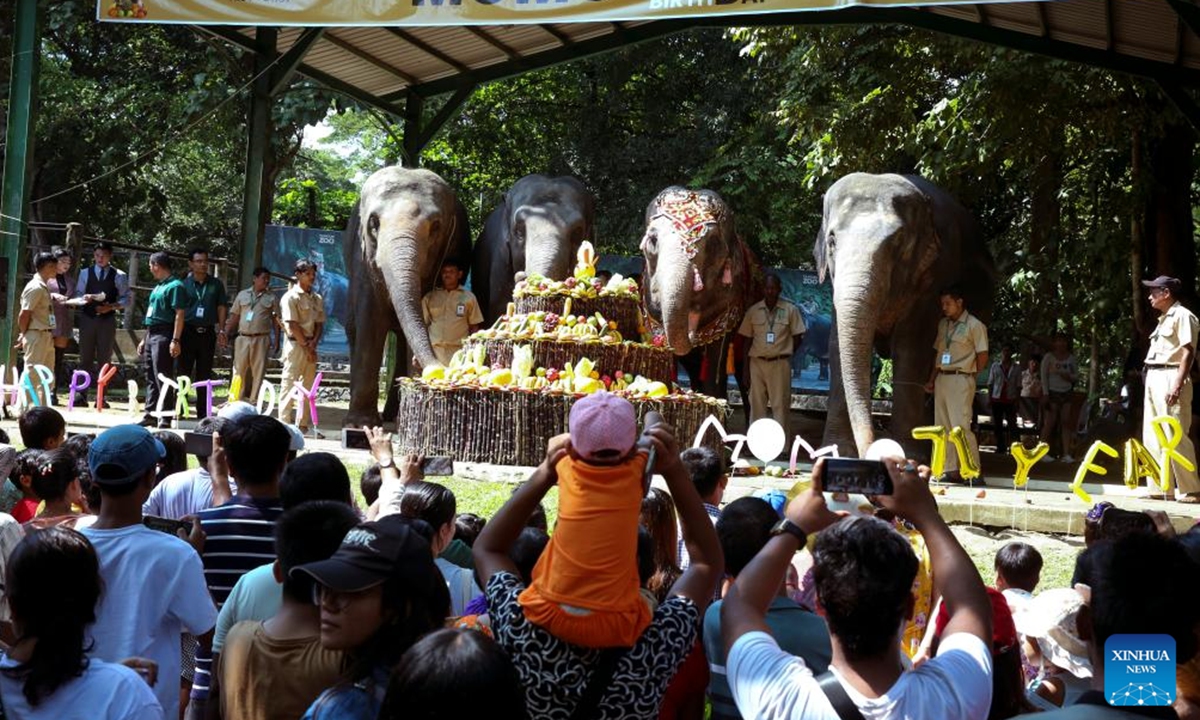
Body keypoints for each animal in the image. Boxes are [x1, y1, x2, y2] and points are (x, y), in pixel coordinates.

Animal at [345, 166, 470, 427]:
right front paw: (360, 424)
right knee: (353, 328)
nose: (439, 370)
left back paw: (395, 414)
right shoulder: (362, 261)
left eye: (435, 226)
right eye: (373, 223)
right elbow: (370, 322)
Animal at [638, 186, 758, 403]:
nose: (692, 333)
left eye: (713, 245)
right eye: (652, 240)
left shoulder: (730, 301)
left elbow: (716, 359)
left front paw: (714, 399)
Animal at [816, 172, 993, 458]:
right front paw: (837, 452)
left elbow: (912, 348)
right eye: (832, 241)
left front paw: (907, 454)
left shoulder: (934, 276)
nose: (873, 450)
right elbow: (836, 347)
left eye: (897, 242)